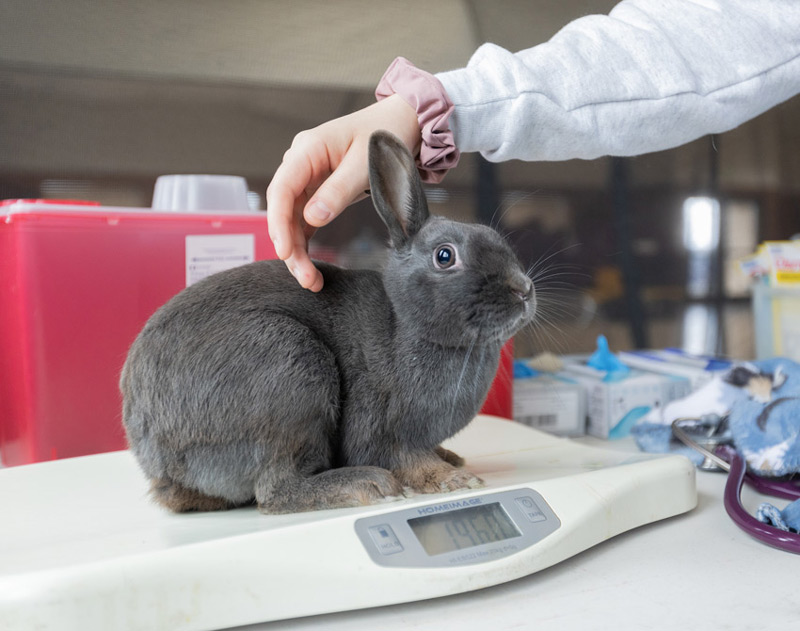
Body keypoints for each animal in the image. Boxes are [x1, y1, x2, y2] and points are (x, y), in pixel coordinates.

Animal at [122, 132, 536, 512]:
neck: (406, 324)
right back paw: (365, 485)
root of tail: (157, 459)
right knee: (275, 490)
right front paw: (452, 478)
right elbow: (400, 456)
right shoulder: (376, 424)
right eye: (445, 256)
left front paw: (452, 459)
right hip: (290, 369)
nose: (524, 290)